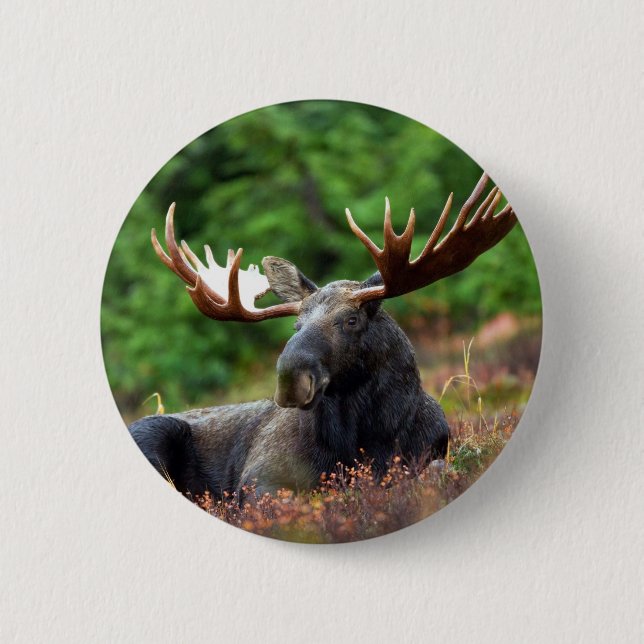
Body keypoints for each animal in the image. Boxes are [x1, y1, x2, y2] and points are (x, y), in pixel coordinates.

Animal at [128, 174, 517, 499]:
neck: (368, 440)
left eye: (351, 320)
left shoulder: (432, 450)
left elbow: (436, 470)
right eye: (296, 326)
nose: (290, 379)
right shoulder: (259, 477)